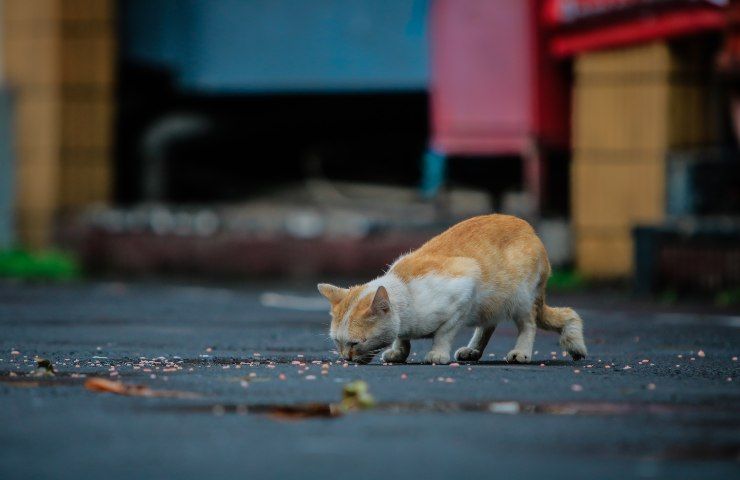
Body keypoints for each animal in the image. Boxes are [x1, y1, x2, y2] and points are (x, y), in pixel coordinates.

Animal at [316, 214, 588, 364]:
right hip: (493, 304)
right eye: (337, 342)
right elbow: (402, 338)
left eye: (354, 343)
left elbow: (444, 333)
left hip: (519, 298)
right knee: (489, 325)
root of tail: (530, 229)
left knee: (529, 324)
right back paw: (473, 350)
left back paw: (521, 351)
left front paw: (437, 353)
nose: (345, 358)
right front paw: (399, 352)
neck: (406, 292)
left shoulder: (466, 286)